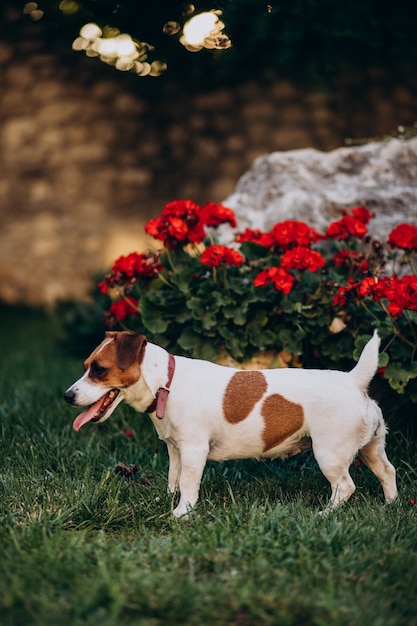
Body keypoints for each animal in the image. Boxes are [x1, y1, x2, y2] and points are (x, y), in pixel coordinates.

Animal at [63, 330, 394, 516]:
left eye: (99, 370)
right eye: (85, 366)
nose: (67, 395)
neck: (166, 383)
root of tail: (354, 381)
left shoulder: (194, 450)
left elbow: (188, 483)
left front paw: (182, 513)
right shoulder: (175, 450)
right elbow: (174, 479)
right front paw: (168, 500)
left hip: (329, 454)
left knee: (345, 487)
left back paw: (325, 514)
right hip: (372, 449)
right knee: (387, 472)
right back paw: (391, 505)